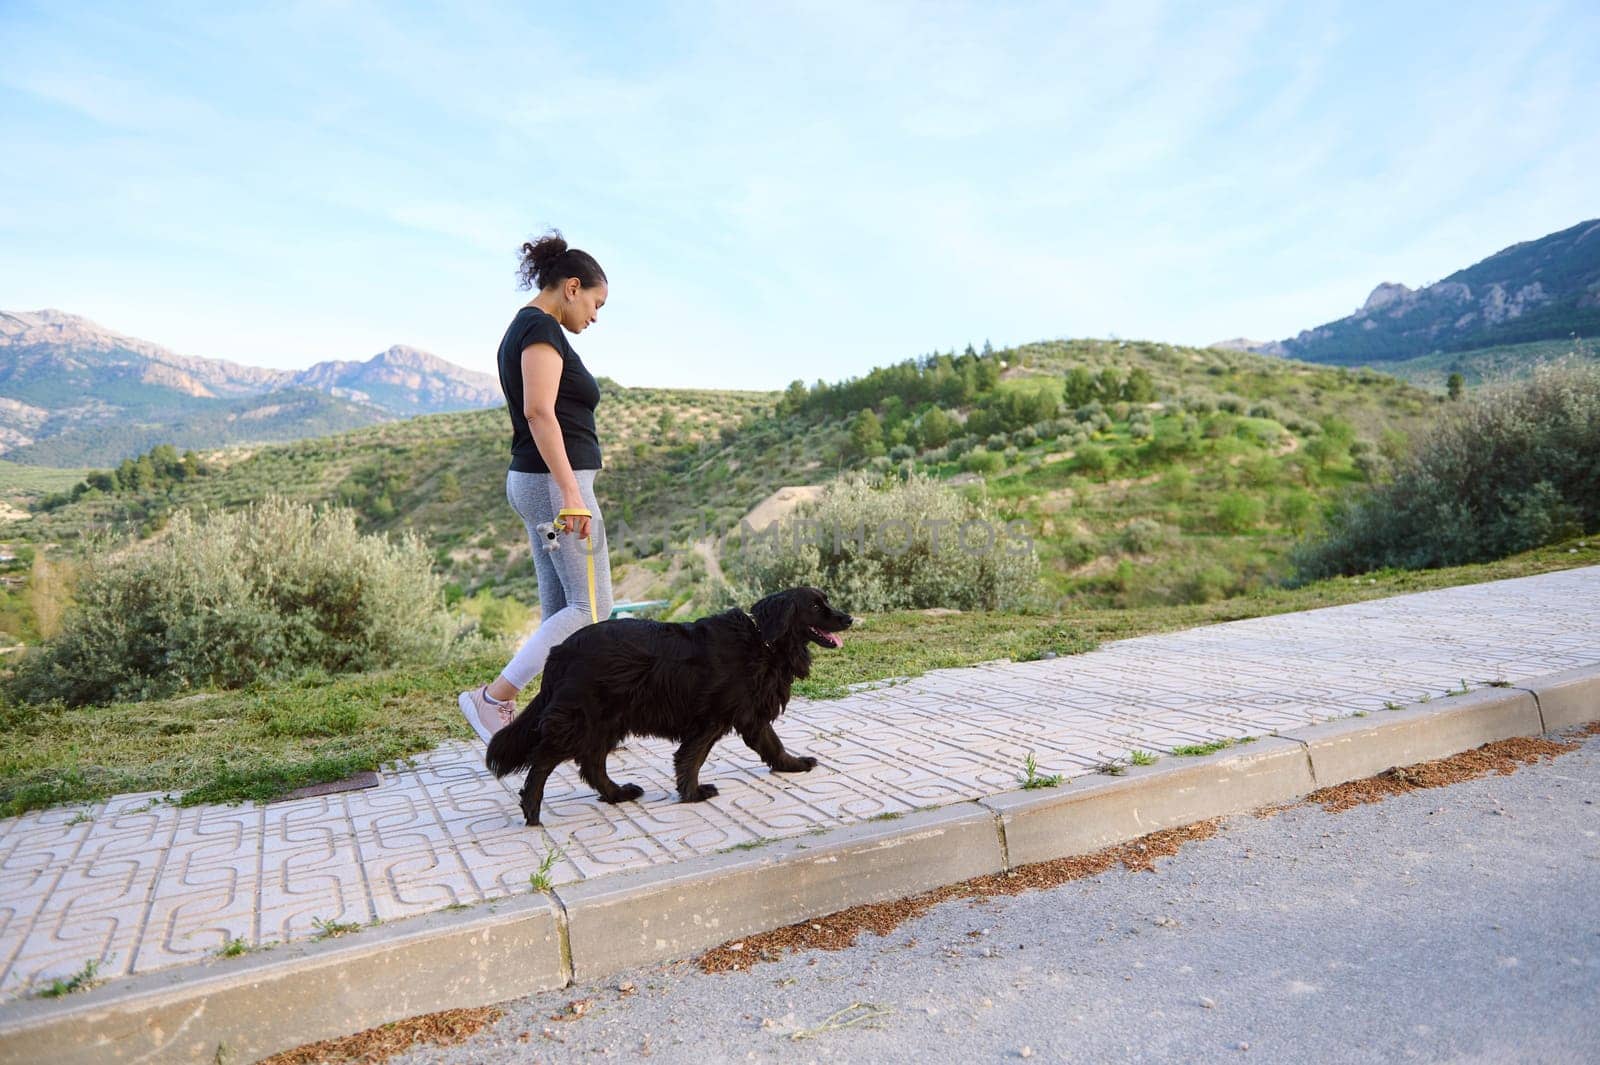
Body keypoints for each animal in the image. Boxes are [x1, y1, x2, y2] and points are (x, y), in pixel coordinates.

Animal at [486, 582, 857, 818]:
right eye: (815, 606)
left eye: (826, 601)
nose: (849, 617)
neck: (763, 640)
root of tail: (559, 650)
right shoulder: (715, 717)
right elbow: (693, 758)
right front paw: (692, 794)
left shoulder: (746, 713)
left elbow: (771, 744)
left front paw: (791, 764)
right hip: (581, 718)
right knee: (543, 761)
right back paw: (532, 809)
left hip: (607, 721)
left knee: (591, 764)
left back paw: (616, 794)